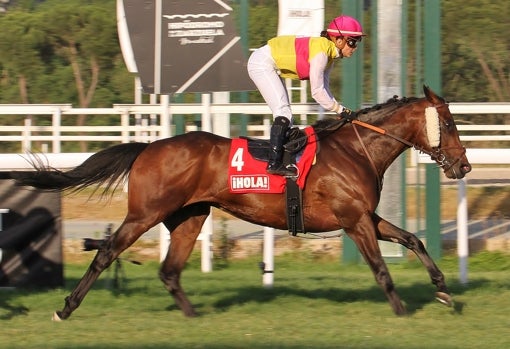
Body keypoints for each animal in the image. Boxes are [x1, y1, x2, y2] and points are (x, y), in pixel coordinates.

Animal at [13, 85, 472, 320]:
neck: (355, 149)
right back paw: (66, 308)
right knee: (108, 251)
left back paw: (194, 316)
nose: (464, 166)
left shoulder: (364, 216)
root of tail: (148, 147)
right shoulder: (354, 220)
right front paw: (401, 310)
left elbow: (413, 239)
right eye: (448, 123)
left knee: (169, 269)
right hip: (145, 213)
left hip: (190, 216)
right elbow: (380, 269)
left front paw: (444, 292)